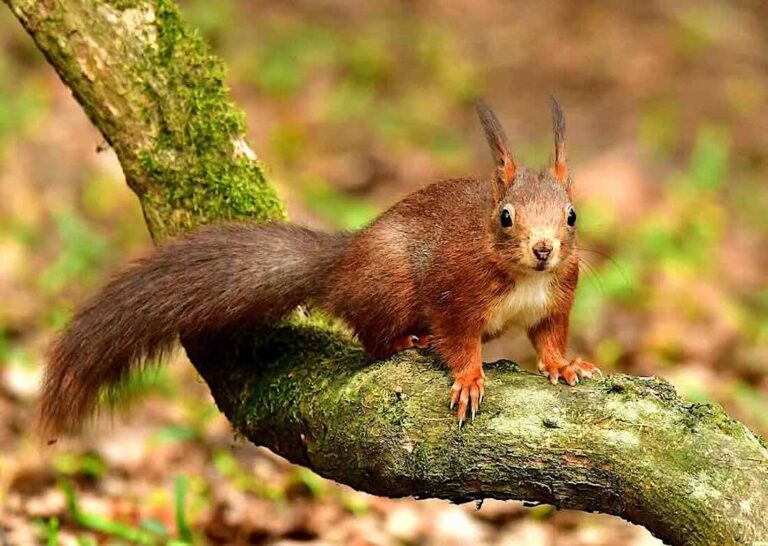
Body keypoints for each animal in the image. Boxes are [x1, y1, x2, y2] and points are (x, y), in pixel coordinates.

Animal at [39, 98, 599, 438]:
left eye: (572, 214)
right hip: (389, 284)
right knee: (372, 336)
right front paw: (469, 379)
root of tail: (342, 263)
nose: (544, 249)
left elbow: (549, 337)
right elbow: (458, 338)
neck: (527, 279)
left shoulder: (558, 297)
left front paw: (564, 365)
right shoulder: (455, 291)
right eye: (505, 217)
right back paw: (405, 341)